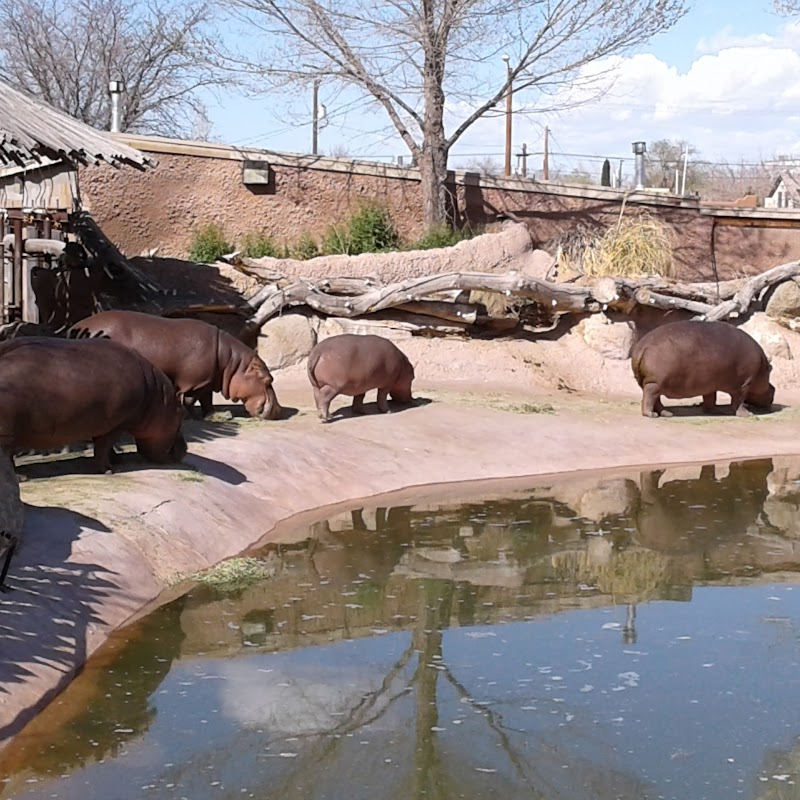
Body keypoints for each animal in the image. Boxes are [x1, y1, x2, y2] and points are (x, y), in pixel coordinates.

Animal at [0, 334, 187, 472]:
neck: (158, 398)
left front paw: (118, 461)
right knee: (7, 455)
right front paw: (109, 470)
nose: (185, 448)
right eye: (180, 416)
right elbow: (103, 447)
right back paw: (21, 478)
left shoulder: (102, 421)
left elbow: (106, 447)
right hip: (7, 434)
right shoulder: (117, 424)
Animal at [68, 310, 282, 418]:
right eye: (268, 378)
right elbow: (191, 399)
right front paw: (187, 414)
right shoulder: (195, 382)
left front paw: (215, 415)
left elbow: (207, 400)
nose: (279, 410)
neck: (231, 363)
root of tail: (74, 328)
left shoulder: (208, 379)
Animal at [632, 318, 776, 418]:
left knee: (656, 400)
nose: (773, 388)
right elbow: (739, 401)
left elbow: (710, 399)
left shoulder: (710, 385)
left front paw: (717, 411)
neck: (761, 367)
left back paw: (667, 414)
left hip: (654, 383)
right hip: (655, 383)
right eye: (771, 369)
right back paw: (651, 415)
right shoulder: (743, 384)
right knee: (650, 397)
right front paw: (748, 414)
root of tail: (642, 346)